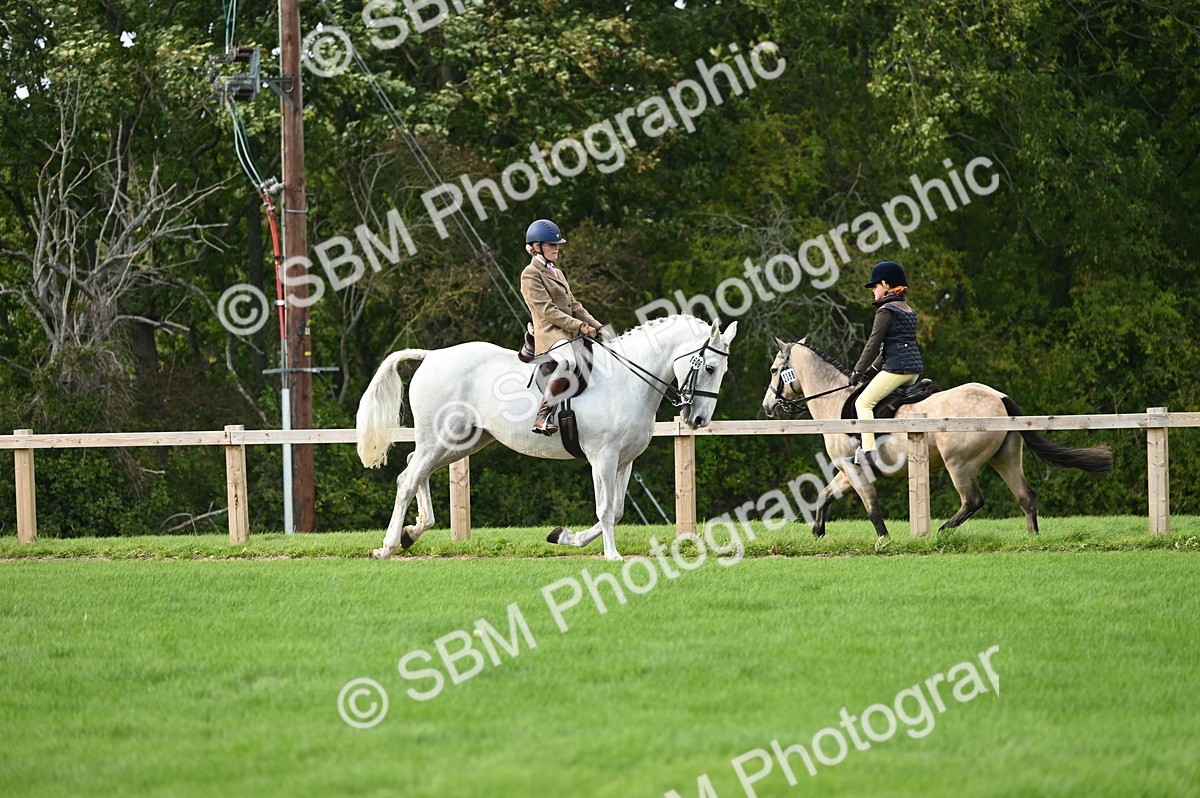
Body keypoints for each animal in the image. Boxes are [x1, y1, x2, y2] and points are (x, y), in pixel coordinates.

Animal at [357, 315, 739, 560]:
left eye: (723, 370)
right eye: (708, 367)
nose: (698, 419)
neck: (628, 379)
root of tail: (432, 356)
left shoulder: (624, 462)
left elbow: (615, 512)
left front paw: (565, 536)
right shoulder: (602, 458)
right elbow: (604, 510)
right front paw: (612, 555)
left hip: (459, 442)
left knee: (412, 469)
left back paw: (412, 531)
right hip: (439, 439)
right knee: (408, 479)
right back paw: (388, 545)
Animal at [760, 336, 1113, 540]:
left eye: (775, 371)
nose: (768, 406)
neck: (835, 402)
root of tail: (999, 397)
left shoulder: (853, 467)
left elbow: (871, 505)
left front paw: (883, 540)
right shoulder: (847, 469)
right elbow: (825, 495)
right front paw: (817, 532)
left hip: (959, 462)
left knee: (973, 500)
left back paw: (941, 532)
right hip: (1005, 458)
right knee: (1026, 497)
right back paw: (1032, 539)